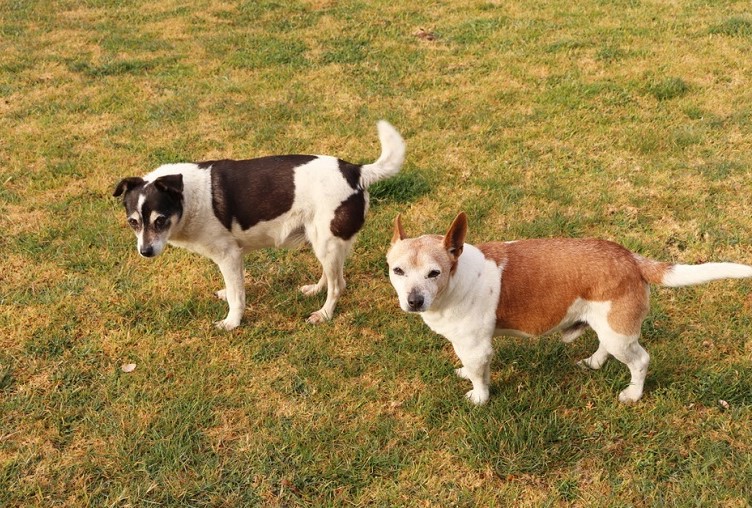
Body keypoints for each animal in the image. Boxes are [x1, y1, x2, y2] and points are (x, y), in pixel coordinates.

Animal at [113, 121, 406, 332]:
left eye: (160, 220)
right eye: (133, 223)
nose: (145, 252)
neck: (189, 197)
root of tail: (356, 172)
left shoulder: (229, 255)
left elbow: (237, 295)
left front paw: (232, 322)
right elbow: (233, 288)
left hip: (327, 242)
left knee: (338, 286)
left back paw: (324, 313)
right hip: (323, 241)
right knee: (335, 276)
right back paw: (316, 289)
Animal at [388, 211, 752, 404]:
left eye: (434, 273)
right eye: (397, 271)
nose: (414, 301)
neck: (456, 279)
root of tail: (631, 258)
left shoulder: (476, 346)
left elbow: (480, 377)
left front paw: (479, 398)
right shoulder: (473, 347)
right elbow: (474, 369)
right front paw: (467, 375)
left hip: (620, 335)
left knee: (641, 360)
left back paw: (633, 394)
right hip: (608, 327)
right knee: (606, 347)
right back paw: (593, 362)